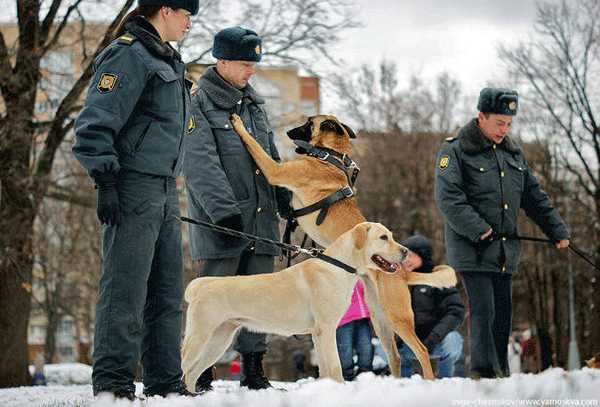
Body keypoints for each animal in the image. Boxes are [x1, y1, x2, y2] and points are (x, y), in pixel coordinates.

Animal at [180, 225, 458, 390]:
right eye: (383, 237)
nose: (405, 252)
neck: (339, 266)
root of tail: (201, 285)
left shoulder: (317, 333)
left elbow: (325, 368)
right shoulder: (326, 329)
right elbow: (336, 366)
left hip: (218, 340)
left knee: (193, 372)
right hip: (201, 335)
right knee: (185, 366)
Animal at [229, 112, 454, 380]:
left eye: (308, 123)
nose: (288, 133)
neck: (330, 156)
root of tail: (401, 272)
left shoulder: (276, 170)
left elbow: (256, 148)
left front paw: (239, 125)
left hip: (397, 315)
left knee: (421, 349)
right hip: (380, 319)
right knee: (395, 356)